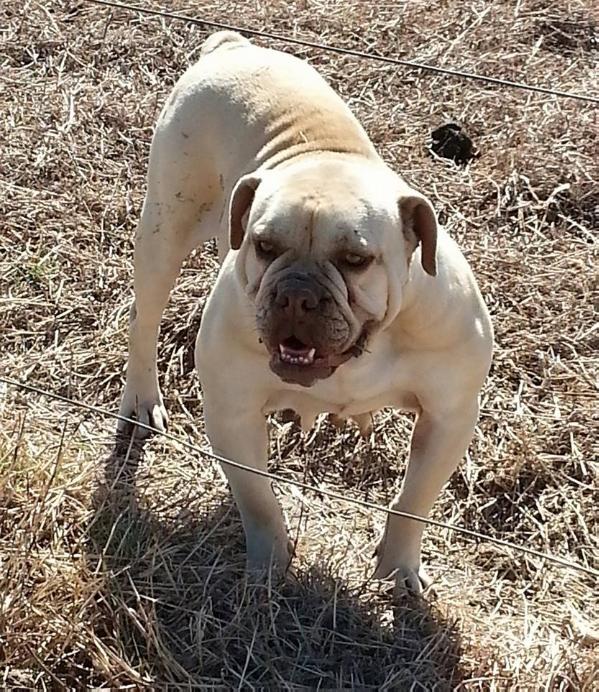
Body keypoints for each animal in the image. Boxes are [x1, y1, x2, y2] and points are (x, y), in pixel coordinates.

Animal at [119, 32, 494, 592]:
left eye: (356, 259)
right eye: (265, 246)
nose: (297, 293)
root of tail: (231, 47)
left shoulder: (449, 416)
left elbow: (413, 501)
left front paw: (398, 569)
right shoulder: (232, 413)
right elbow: (258, 500)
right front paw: (269, 566)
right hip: (164, 230)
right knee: (144, 320)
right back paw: (143, 398)